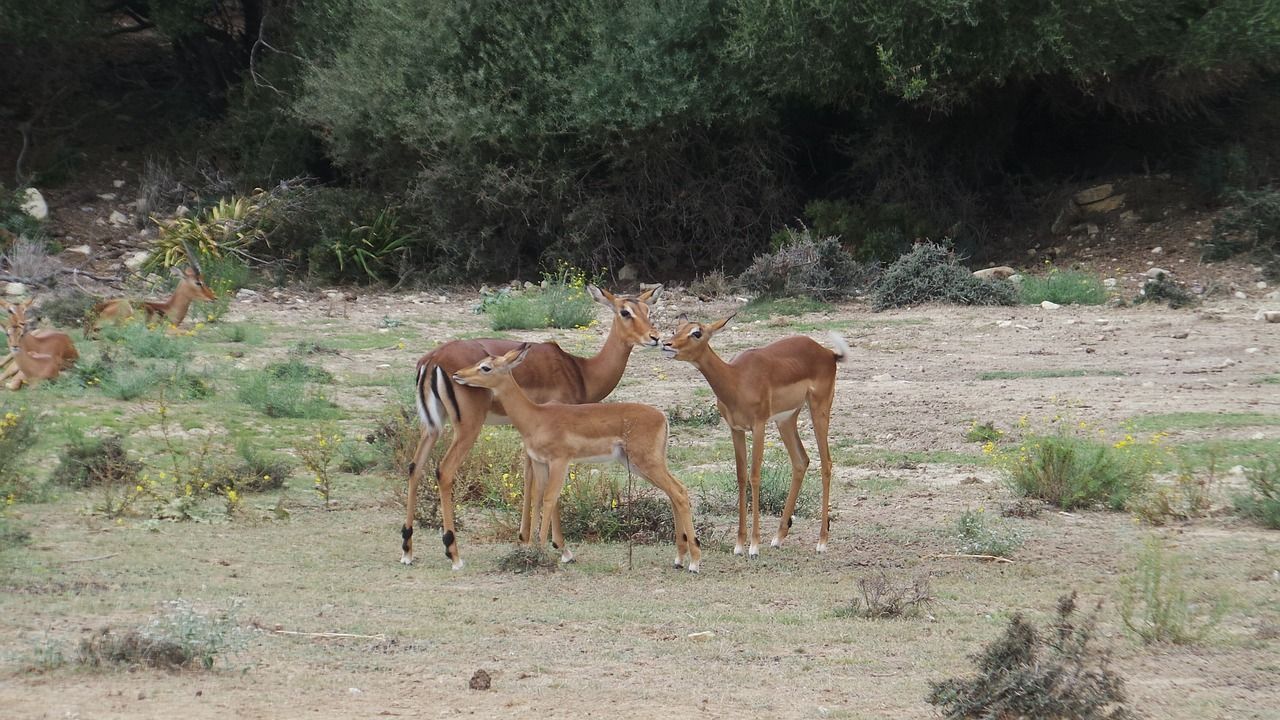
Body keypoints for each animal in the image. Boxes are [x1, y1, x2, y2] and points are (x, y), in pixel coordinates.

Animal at [404, 283, 665, 568]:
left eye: (648, 310)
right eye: (625, 311)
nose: (655, 338)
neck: (581, 371)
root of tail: (432, 360)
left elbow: (530, 480)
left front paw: (525, 539)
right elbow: (545, 488)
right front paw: (560, 548)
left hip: (432, 426)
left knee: (414, 467)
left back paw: (407, 549)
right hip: (468, 427)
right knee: (444, 471)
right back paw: (454, 554)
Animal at [455, 348, 706, 571]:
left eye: (486, 367)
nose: (458, 374)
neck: (536, 417)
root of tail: (662, 416)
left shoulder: (560, 461)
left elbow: (549, 498)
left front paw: (542, 550)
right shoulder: (539, 462)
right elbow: (536, 498)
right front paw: (533, 548)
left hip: (647, 463)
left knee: (679, 493)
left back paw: (694, 563)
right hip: (637, 464)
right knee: (675, 492)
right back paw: (679, 559)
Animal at [660, 313, 849, 556]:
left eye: (697, 332)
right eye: (677, 328)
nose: (666, 344)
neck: (736, 379)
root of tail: (828, 353)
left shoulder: (758, 426)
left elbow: (755, 476)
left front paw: (754, 546)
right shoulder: (736, 429)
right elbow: (741, 476)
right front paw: (739, 544)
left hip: (819, 410)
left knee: (826, 463)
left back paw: (822, 542)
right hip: (786, 420)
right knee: (801, 461)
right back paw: (778, 537)